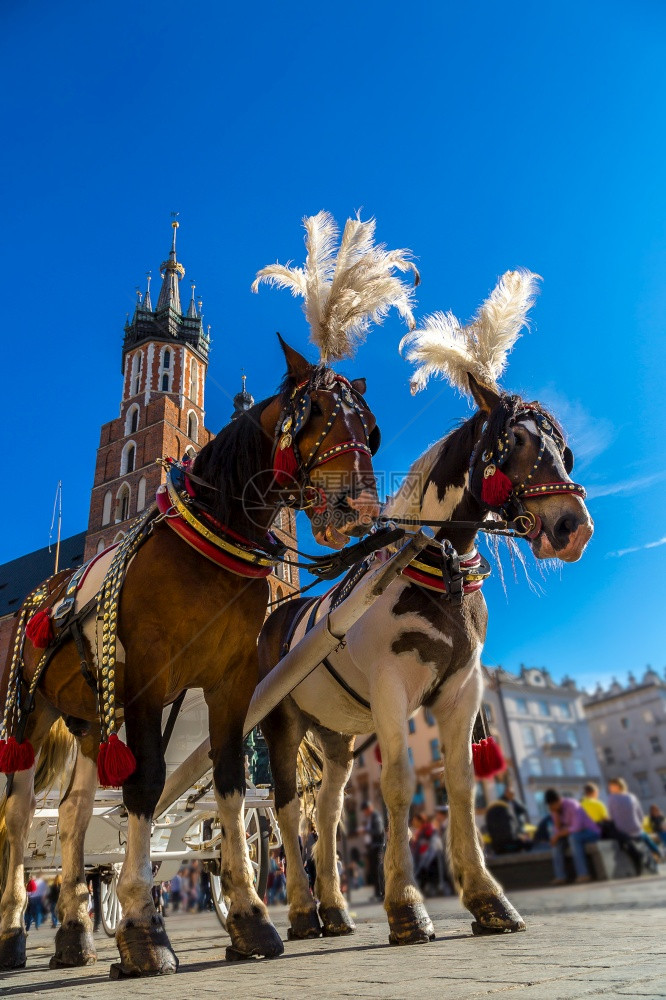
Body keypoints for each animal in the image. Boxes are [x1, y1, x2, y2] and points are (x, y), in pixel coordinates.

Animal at [0, 338, 378, 976]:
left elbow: (227, 784)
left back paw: (74, 933)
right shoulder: (146, 683)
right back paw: (12, 934)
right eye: (319, 415)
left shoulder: (231, 683)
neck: (208, 549)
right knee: (19, 817)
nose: (361, 509)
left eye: (370, 429)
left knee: (74, 815)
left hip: (87, 720)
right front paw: (142, 928)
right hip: (30, 715)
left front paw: (250, 917)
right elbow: (145, 785)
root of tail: (46, 590)